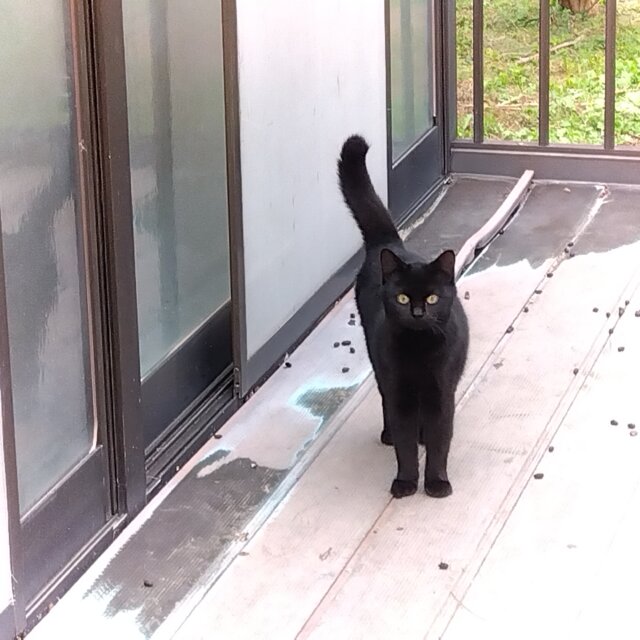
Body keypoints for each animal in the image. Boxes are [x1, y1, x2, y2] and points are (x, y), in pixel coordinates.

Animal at [338, 134, 469, 499]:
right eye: (402, 298)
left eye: (433, 297)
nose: (418, 312)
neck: (419, 350)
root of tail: (389, 243)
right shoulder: (400, 392)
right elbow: (405, 445)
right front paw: (406, 481)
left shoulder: (442, 394)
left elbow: (440, 442)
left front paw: (437, 483)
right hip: (379, 362)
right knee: (385, 403)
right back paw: (388, 435)